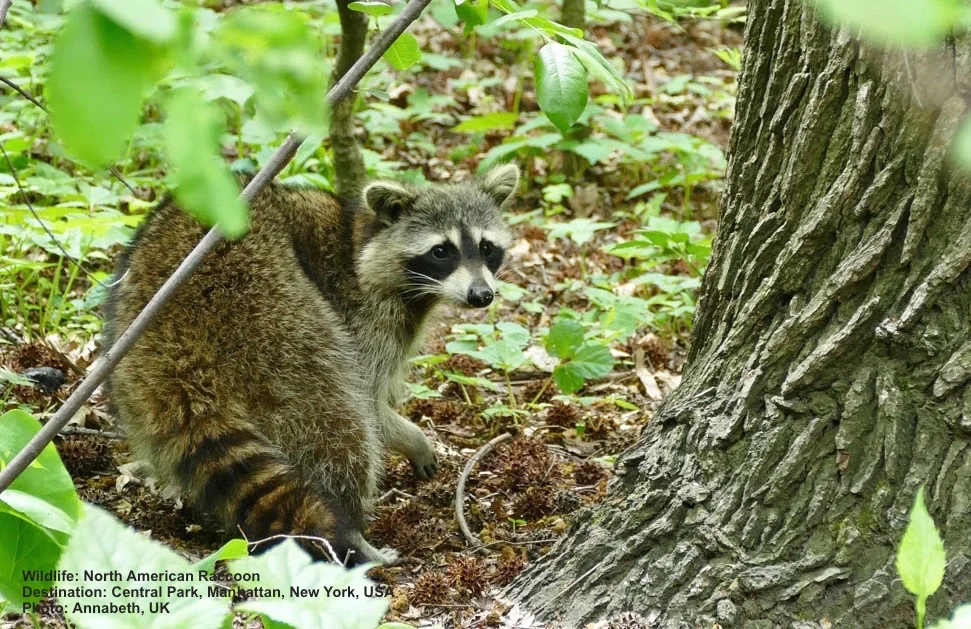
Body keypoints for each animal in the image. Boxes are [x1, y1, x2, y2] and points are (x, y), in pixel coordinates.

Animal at [103, 164, 519, 565]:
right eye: (441, 251)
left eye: (486, 247)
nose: (481, 295)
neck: (360, 241)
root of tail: (172, 328)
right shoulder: (361, 312)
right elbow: (369, 401)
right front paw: (409, 436)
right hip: (274, 309)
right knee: (337, 419)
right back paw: (354, 532)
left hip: (135, 369)